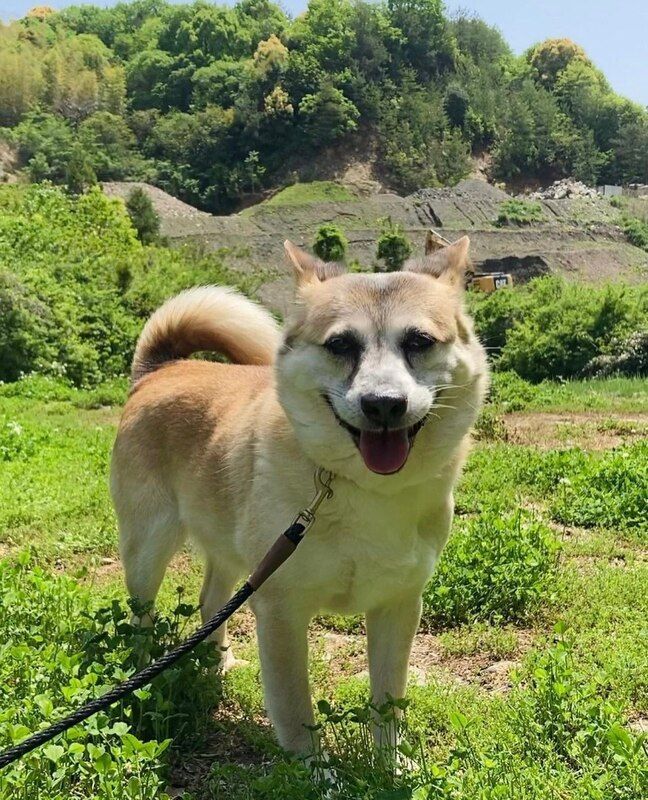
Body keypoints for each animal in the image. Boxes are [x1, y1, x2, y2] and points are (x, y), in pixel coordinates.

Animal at [110, 234, 486, 752]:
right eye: (341, 344)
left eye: (420, 342)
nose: (384, 405)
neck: (361, 487)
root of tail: (160, 370)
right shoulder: (280, 612)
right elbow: (296, 716)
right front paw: (315, 770)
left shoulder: (399, 606)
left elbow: (387, 708)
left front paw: (388, 765)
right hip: (149, 549)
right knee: (142, 619)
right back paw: (148, 678)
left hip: (233, 552)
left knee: (211, 601)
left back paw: (217, 662)